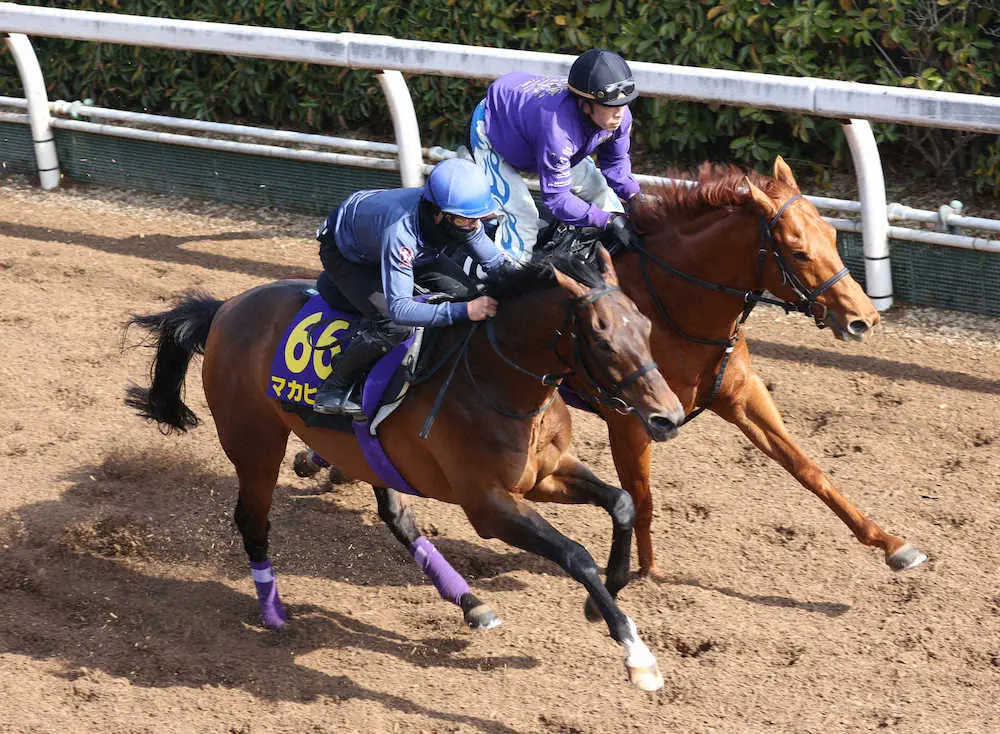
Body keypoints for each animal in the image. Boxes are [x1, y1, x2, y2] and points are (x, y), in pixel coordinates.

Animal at [123, 244, 688, 692]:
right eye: (601, 337)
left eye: (646, 325)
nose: (668, 416)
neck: (496, 379)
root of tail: (225, 308)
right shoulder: (489, 505)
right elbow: (575, 555)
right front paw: (637, 655)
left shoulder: (545, 473)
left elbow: (622, 502)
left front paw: (605, 599)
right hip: (255, 441)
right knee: (252, 521)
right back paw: (273, 612)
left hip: (366, 454)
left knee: (397, 518)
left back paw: (470, 601)